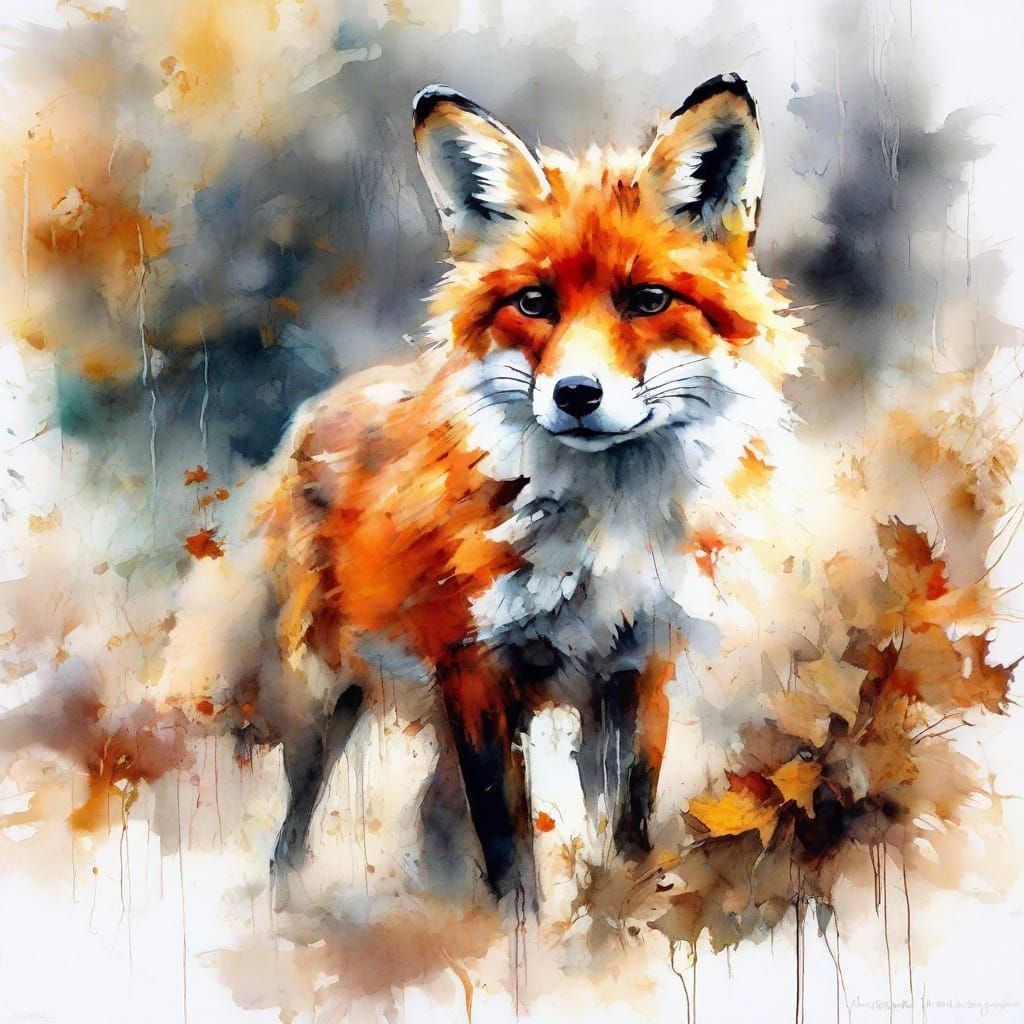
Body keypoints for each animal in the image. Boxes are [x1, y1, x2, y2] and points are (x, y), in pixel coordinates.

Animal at [161, 72, 807, 905]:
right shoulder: (476, 673)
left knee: (428, 817)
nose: (576, 394)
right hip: (324, 696)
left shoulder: (636, 671)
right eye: (533, 302)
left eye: (648, 300)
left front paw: (614, 917)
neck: (603, 528)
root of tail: (310, 415)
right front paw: (520, 935)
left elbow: (626, 829)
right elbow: (506, 845)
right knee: (295, 826)